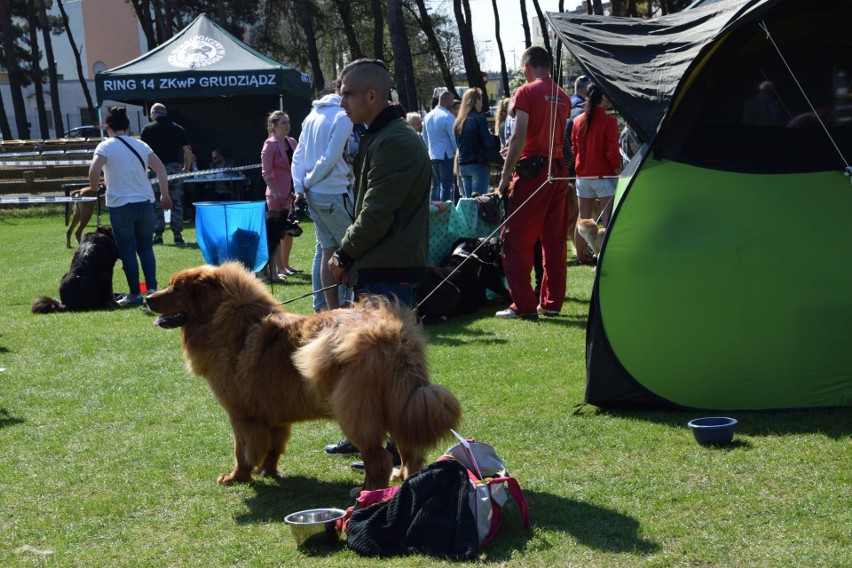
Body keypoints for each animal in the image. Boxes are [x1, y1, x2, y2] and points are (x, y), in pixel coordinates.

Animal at [150, 262, 462, 488]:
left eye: (176, 289)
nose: (148, 297)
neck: (227, 322)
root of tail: (391, 335)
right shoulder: (273, 414)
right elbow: (273, 446)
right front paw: (268, 471)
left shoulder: (241, 414)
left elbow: (242, 450)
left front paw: (236, 477)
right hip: (402, 403)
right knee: (409, 448)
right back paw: (403, 477)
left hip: (356, 411)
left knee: (379, 457)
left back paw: (366, 492)